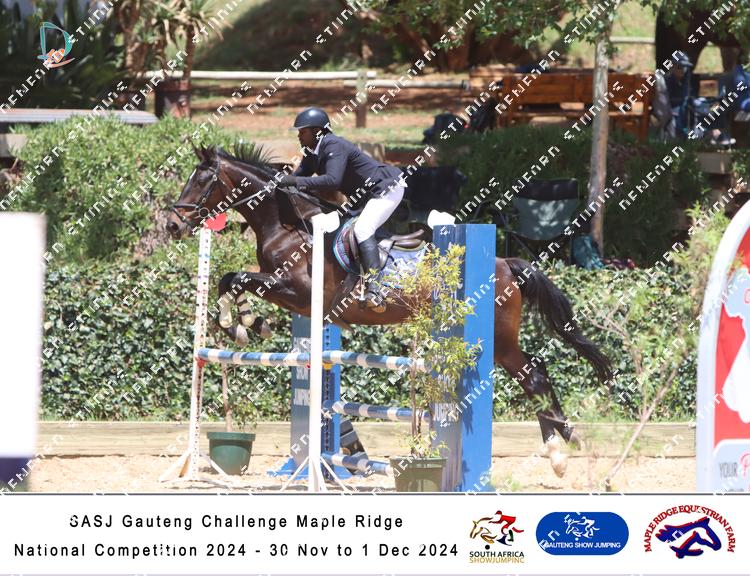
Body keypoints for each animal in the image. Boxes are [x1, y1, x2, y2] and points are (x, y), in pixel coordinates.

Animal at [166, 144, 613, 478]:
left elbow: (238, 279)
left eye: (202, 180)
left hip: (498, 339)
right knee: (535, 374)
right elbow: (229, 279)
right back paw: (561, 450)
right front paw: (243, 322)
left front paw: (241, 323)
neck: (288, 225)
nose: (173, 225)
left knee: (533, 378)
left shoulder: (298, 291)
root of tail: (506, 263)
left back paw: (562, 449)